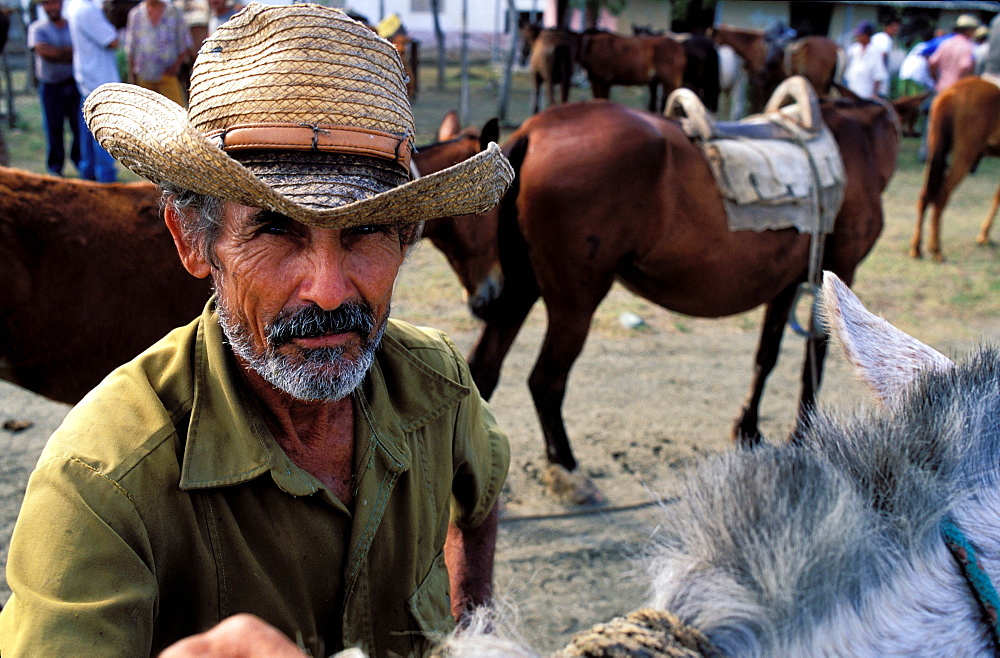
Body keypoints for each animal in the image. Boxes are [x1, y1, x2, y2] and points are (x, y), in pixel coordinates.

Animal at [430, 95, 900, 500]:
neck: (859, 142)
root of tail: (536, 128)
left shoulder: (785, 285)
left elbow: (766, 359)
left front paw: (749, 429)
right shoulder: (836, 274)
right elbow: (813, 364)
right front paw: (802, 435)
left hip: (520, 288)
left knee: (484, 369)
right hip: (576, 300)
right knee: (546, 379)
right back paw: (567, 467)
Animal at [916, 75, 1000, 260]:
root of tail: (952, 92)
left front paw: (984, 235)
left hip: (935, 153)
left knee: (925, 195)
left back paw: (916, 248)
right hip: (964, 157)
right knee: (941, 195)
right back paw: (936, 248)